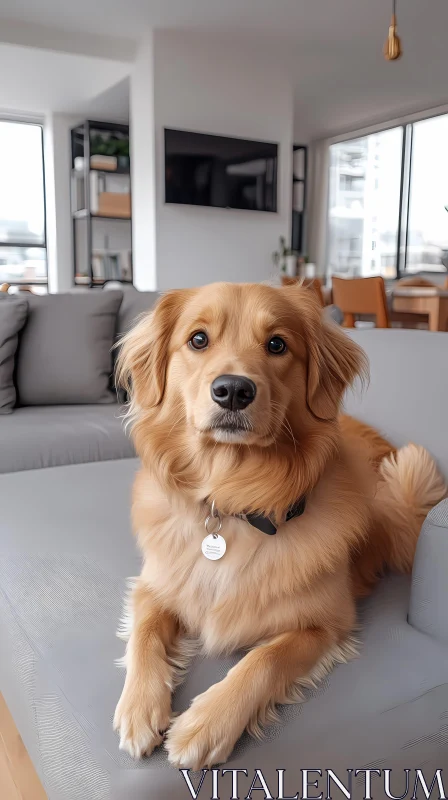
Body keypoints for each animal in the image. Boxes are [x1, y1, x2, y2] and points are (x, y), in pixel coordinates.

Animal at [113, 282, 444, 768]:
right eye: (198, 340)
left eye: (276, 345)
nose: (233, 390)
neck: (233, 500)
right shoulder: (154, 584)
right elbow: (146, 633)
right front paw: (138, 708)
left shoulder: (327, 624)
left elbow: (265, 659)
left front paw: (206, 723)